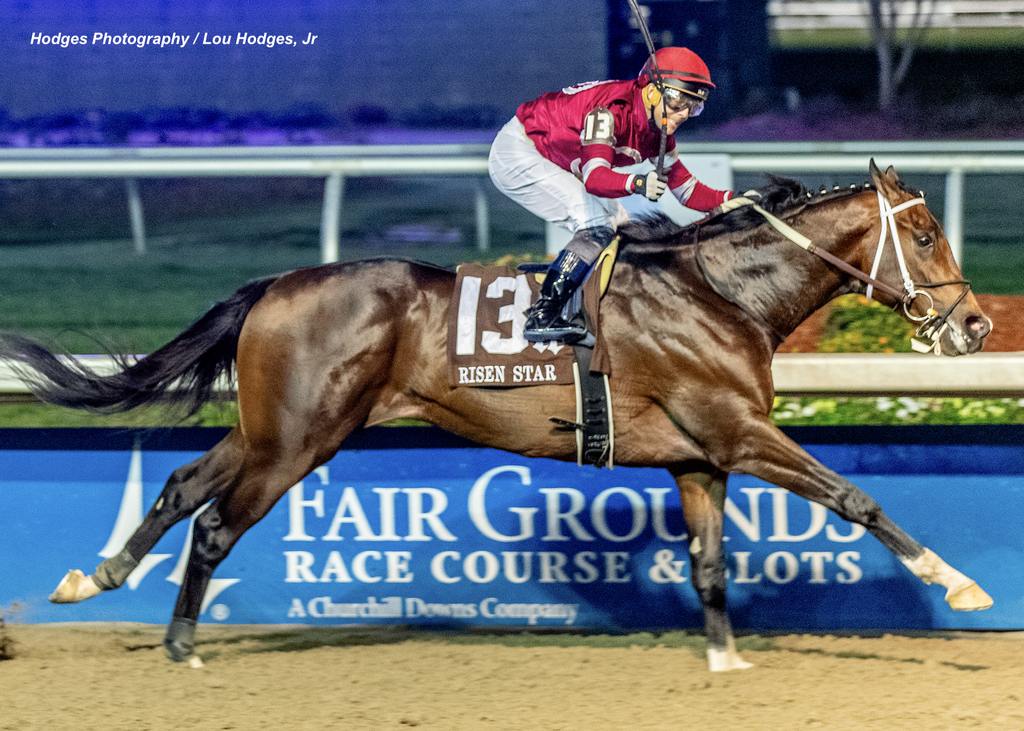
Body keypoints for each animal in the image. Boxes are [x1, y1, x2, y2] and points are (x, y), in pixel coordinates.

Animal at [0, 160, 991, 671]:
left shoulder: (699, 456)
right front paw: (958, 585)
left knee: (179, 485)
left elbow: (709, 565)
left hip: (271, 425)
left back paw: (93, 578)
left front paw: (724, 660)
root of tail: (275, 284)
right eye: (926, 233)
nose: (976, 324)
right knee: (213, 523)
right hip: (301, 439)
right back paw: (180, 645)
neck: (721, 292)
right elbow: (856, 498)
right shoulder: (740, 432)